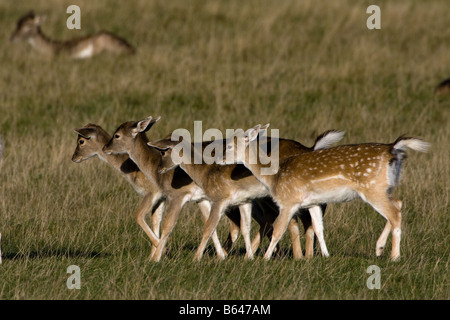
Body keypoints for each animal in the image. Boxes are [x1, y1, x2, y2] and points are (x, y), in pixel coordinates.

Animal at [149, 129, 344, 262]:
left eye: (163, 151)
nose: (159, 169)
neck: (204, 172)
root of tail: (310, 148)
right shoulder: (235, 200)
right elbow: (241, 227)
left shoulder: (217, 199)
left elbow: (207, 227)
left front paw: (194, 258)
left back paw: (302, 256)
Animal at [220, 124, 430, 262]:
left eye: (229, 145)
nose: (220, 159)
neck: (275, 177)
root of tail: (393, 148)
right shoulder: (312, 202)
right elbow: (319, 228)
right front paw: (325, 256)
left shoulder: (289, 201)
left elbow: (278, 230)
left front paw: (264, 259)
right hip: (385, 187)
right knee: (399, 204)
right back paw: (379, 248)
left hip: (372, 188)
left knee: (394, 213)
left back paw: (394, 257)